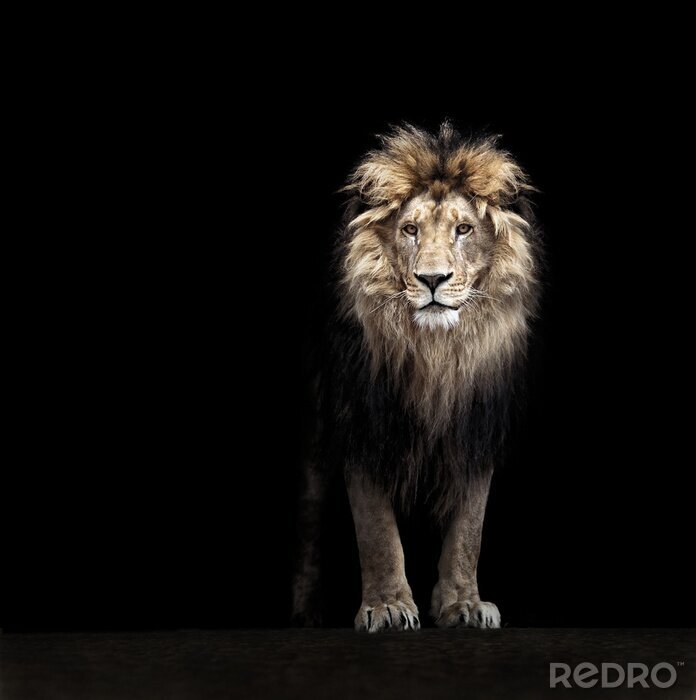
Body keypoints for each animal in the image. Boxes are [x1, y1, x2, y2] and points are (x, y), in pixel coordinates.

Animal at [292, 122, 541, 632]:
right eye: (410, 230)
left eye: (463, 229)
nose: (432, 279)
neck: (436, 354)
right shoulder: (364, 421)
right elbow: (377, 529)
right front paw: (387, 606)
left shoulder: (475, 427)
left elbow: (469, 529)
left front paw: (463, 604)